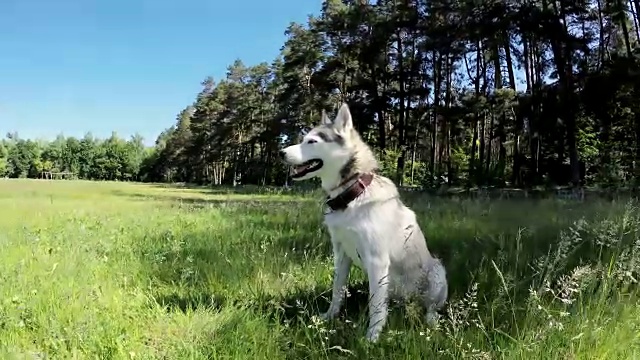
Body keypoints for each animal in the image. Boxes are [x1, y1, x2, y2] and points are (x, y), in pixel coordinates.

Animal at [282, 102, 448, 342]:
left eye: (312, 141)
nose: (281, 152)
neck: (352, 195)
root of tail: (408, 301)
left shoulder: (377, 261)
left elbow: (376, 307)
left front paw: (372, 338)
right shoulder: (341, 254)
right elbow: (337, 291)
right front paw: (330, 316)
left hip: (437, 272)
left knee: (431, 307)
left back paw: (431, 321)